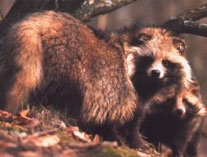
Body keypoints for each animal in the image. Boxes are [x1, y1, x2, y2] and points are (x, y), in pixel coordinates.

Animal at [0, 11, 146, 149]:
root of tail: (39, 24)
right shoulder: (116, 89)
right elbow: (109, 118)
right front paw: (120, 138)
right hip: (67, 62)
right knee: (68, 95)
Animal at [124, 27, 207, 156]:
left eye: (185, 101)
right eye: (171, 100)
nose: (179, 111)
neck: (172, 119)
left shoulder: (187, 126)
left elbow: (179, 144)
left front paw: (178, 153)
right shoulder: (151, 117)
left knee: (192, 145)